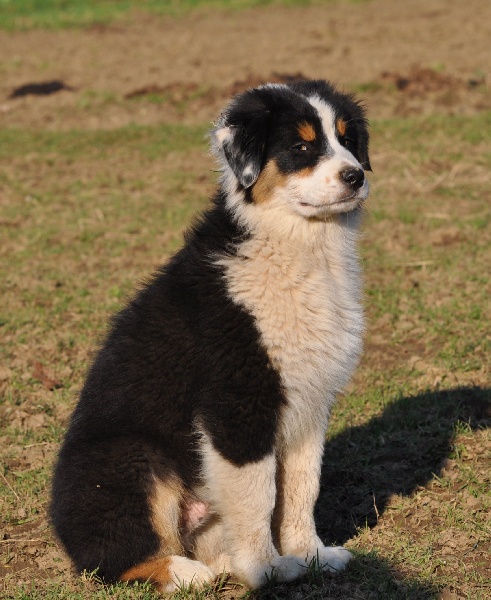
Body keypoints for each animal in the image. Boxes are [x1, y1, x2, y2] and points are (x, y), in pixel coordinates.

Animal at [51, 78, 372, 592]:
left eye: (347, 139)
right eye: (301, 146)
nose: (355, 176)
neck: (303, 246)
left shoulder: (310, 402)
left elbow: (302, 487)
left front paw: (312, 556)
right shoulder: (237, 402)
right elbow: (259, 493)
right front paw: (269, 570)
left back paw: (224, 567)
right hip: (131, 459)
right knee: (112, 560)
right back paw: (187, 573)